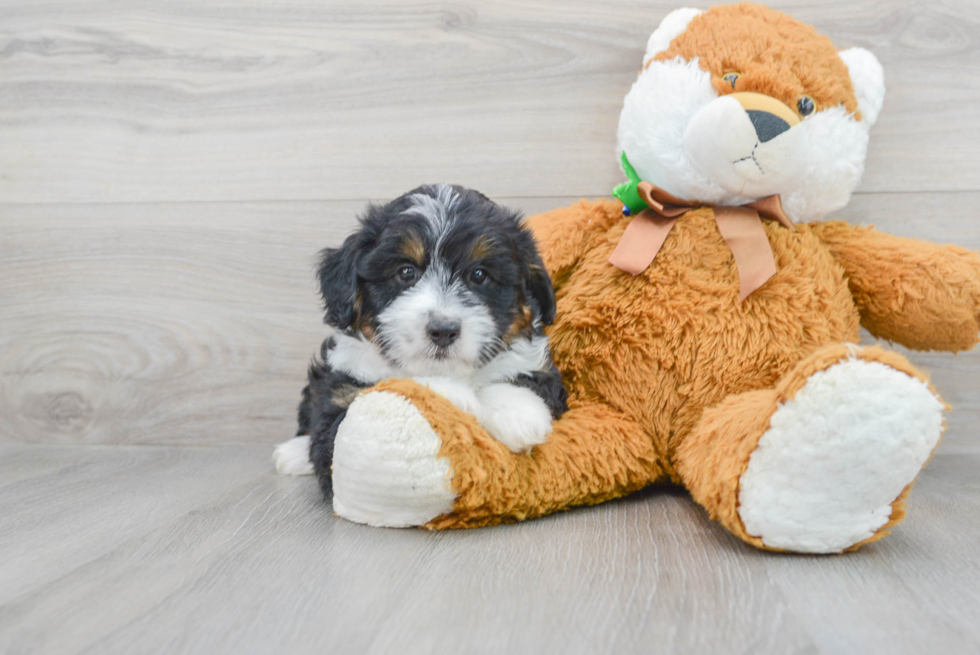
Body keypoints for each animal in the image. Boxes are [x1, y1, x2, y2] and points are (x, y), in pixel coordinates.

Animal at [274, 184, 568, 492]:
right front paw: (451, 396)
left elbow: (524, 379)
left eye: (479, 275)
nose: (443, 330)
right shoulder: (339, 409)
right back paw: (292, 453)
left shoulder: (542, 371)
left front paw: (520, 413)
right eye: (406, 271)